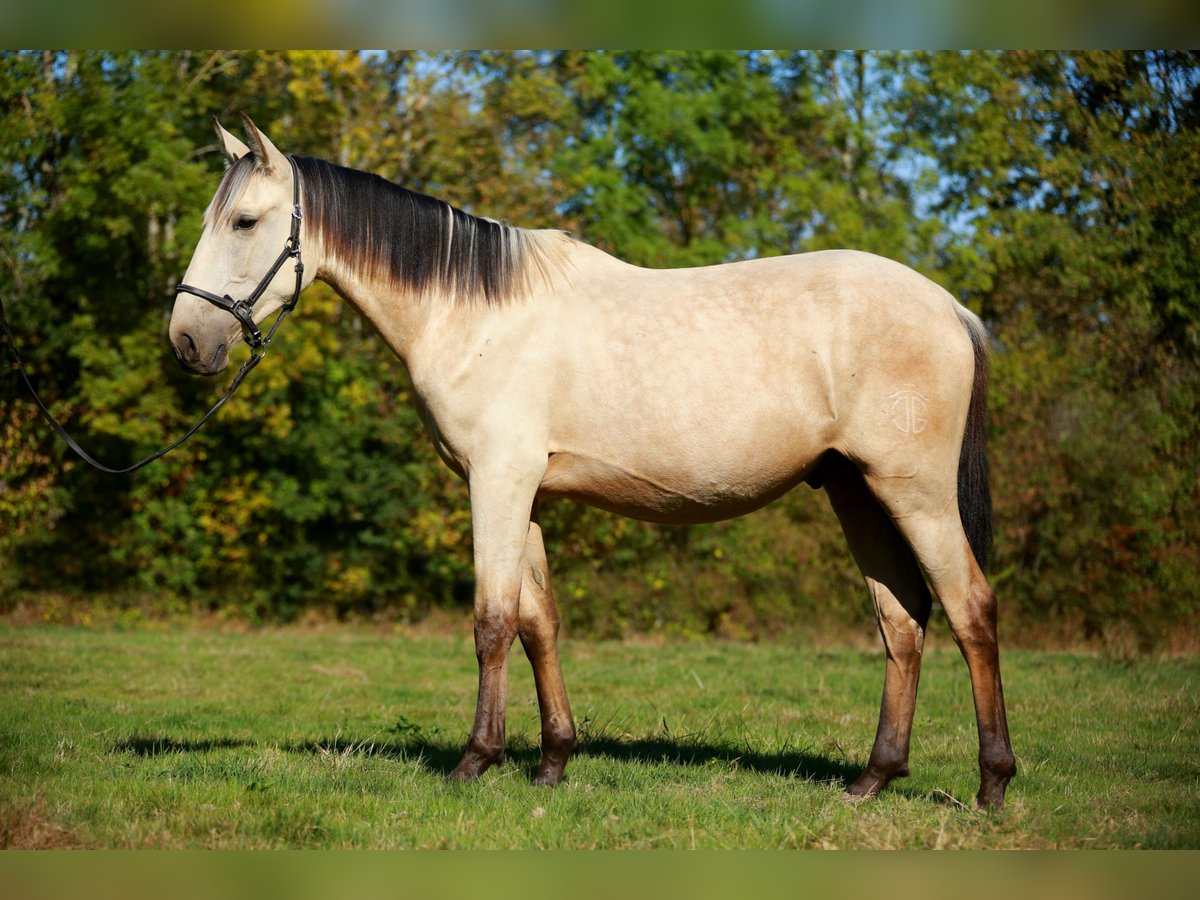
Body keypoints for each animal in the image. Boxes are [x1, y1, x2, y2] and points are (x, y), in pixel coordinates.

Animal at [169, 116, 1012, 816]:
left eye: (244, 221)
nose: (186, 340)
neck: (472, 314)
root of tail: (951, 309)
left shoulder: (497, 482)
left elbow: (492, 621)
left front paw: (476, 762)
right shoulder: (527, 493)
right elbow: (539, 624)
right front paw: (552, 762)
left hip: (915, 493)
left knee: (969, 608)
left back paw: (992, 784)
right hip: (855, 491)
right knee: (901, 621)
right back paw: (873, 779)